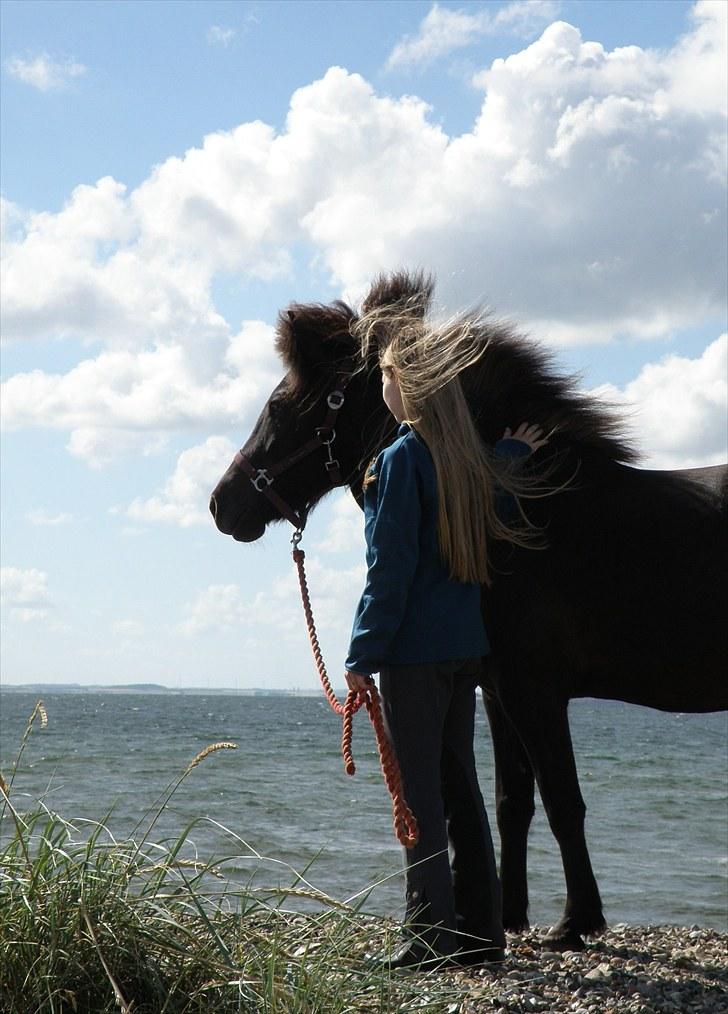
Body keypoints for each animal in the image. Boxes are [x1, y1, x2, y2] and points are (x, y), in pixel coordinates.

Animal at [207, 271, 725, 949]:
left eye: (277, 406)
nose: (221, 504)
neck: (521, 513)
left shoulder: (536, 692)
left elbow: (563, 801)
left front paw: (576, 921)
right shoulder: (500, 692)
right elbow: (511, 804)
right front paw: (509, 917)